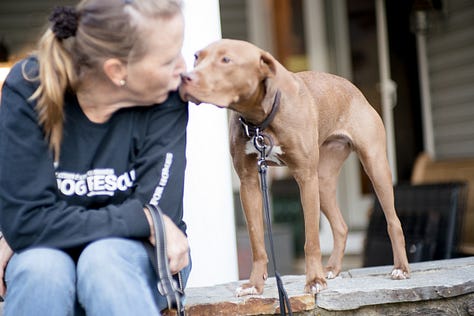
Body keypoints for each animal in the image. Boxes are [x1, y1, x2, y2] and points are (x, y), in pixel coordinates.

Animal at [180, 39, 410, 296]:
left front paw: (314, 280)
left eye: (226, 60)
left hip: (374, 166)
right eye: (197, 57)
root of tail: (353, 89)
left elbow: (312, 240)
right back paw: (332, 268)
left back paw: (400, 268)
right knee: (341, 227)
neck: (259, 121)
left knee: (393, 221)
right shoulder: (249, 183)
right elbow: (256, 240)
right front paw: (255, 284)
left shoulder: (305, 178)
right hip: (323, 181)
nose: (185, 77)